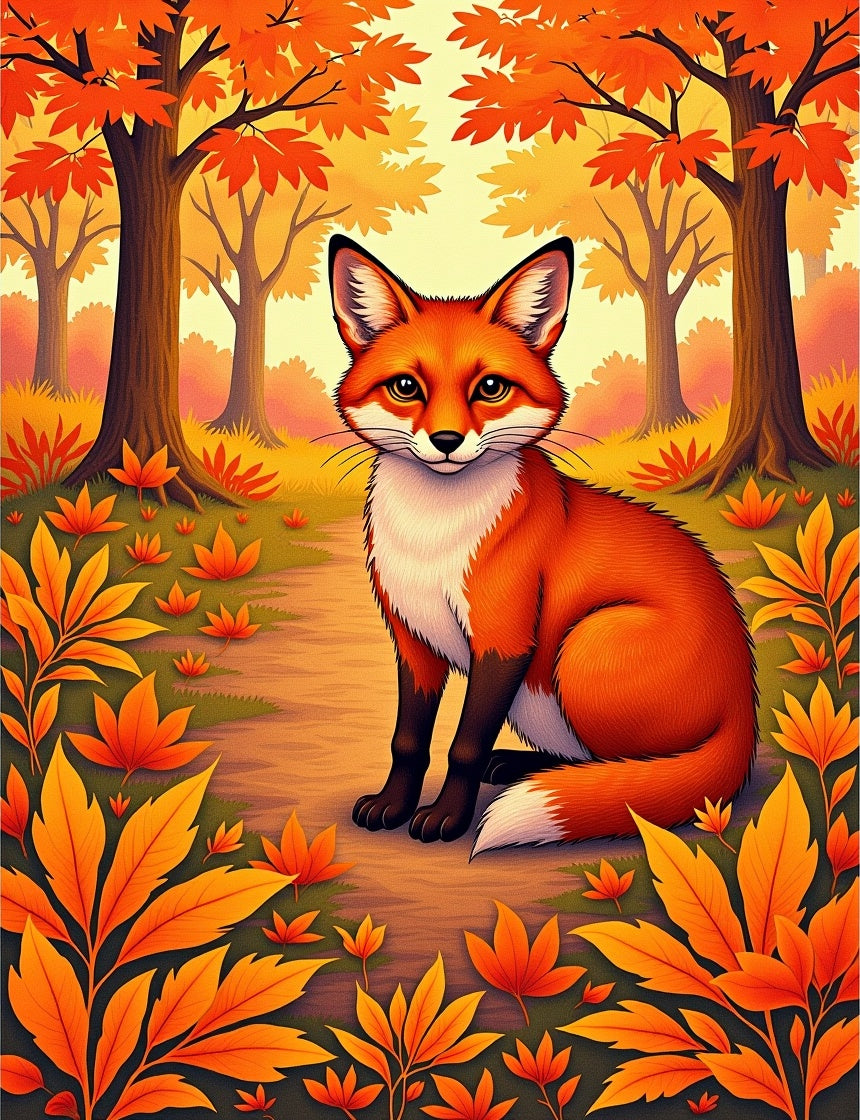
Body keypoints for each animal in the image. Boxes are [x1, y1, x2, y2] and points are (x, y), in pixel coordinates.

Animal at [328, 233, 757, 855]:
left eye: (490, 388)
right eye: (407, 387)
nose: (446, 440)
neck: (433, 537)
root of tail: (745, 707)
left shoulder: (504, 639)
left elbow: (463, 745)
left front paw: (446, 818)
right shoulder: (413, 640)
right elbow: (407, 740)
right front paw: (393, 805)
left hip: (585, 645)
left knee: (639, 774)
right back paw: (519, 767)